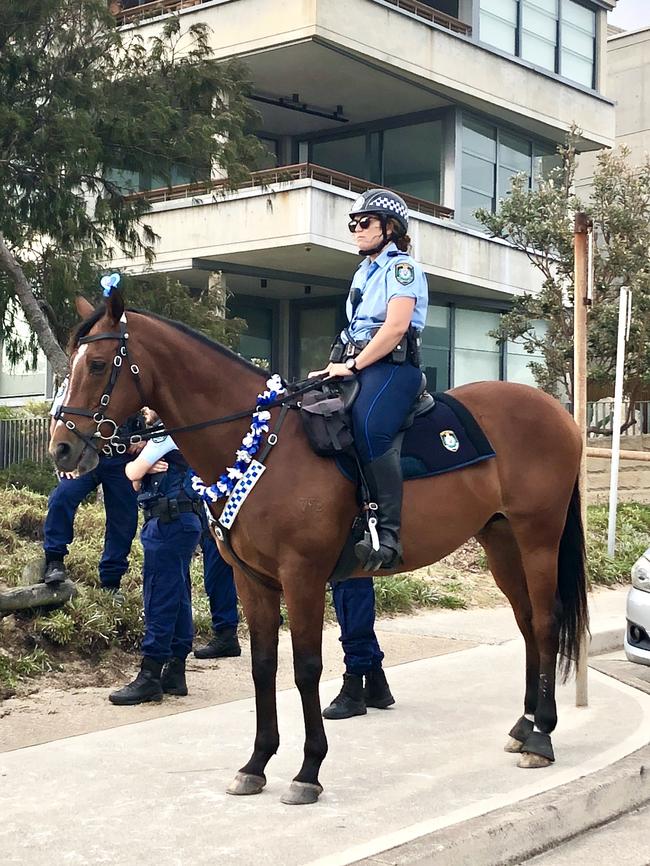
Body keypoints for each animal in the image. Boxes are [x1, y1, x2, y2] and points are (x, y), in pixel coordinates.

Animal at [50, 296, 588, 804]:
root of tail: (558, 412)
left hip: (538, 537)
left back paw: (542, 735)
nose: (61, 448)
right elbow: (263, 665)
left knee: (546, 621)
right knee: (527, 624)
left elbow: (306, 668)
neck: (260, 442)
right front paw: (256, 763)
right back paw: (524, 725)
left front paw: (308, 770)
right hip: (501, 541)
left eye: (96, 364)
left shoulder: (302, 576)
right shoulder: (253, 580)